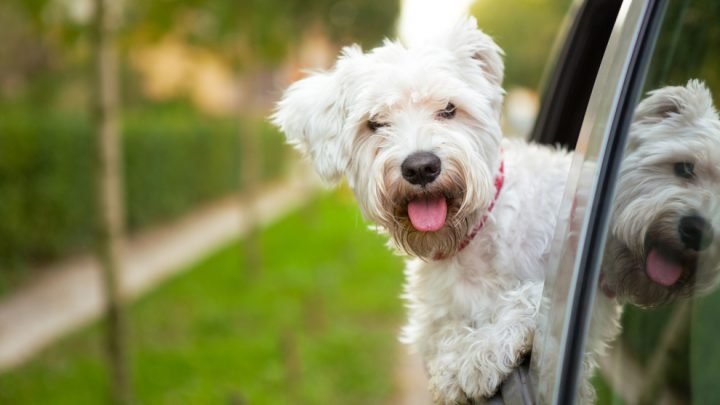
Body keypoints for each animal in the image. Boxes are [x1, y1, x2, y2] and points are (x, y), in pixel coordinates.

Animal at [272, 18, 572, 400]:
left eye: (449, 109)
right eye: (375, 122)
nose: (420, 168)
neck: (468, 241)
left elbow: (528, 298)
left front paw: (476, 357)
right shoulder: (432, 322)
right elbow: (443, 335)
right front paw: (454, 363)